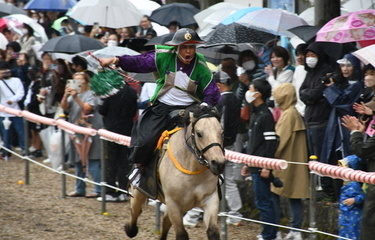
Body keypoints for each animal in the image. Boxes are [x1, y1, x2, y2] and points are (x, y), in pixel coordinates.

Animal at [125, 106, 226, 240]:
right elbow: (181, 235)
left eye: (222, 133)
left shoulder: (210, 198)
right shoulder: (173, 203)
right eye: (199, 134)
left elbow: (213, 231)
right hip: (139, 192)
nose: (218, 163)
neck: (192, 169)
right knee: (135, 211)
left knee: (165, 221)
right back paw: (129, 228)